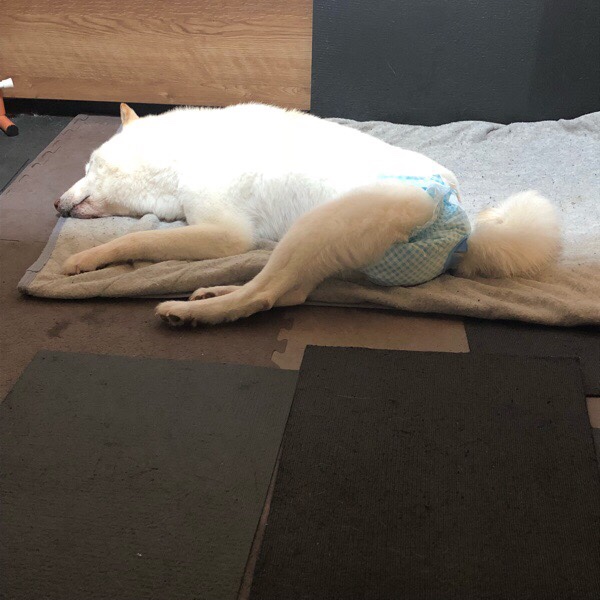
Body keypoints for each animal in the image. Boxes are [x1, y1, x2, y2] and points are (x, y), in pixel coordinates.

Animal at [56, 103, 561, 326]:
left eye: (89, 167)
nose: (56, 204)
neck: (184, 154)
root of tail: (463, 226)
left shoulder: (225, 234)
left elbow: (137, 238)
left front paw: (85, 258)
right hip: (313, 243)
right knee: (286, 292)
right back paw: (213, 293)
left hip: (317, 226)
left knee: (265, 295)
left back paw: (196, 311)